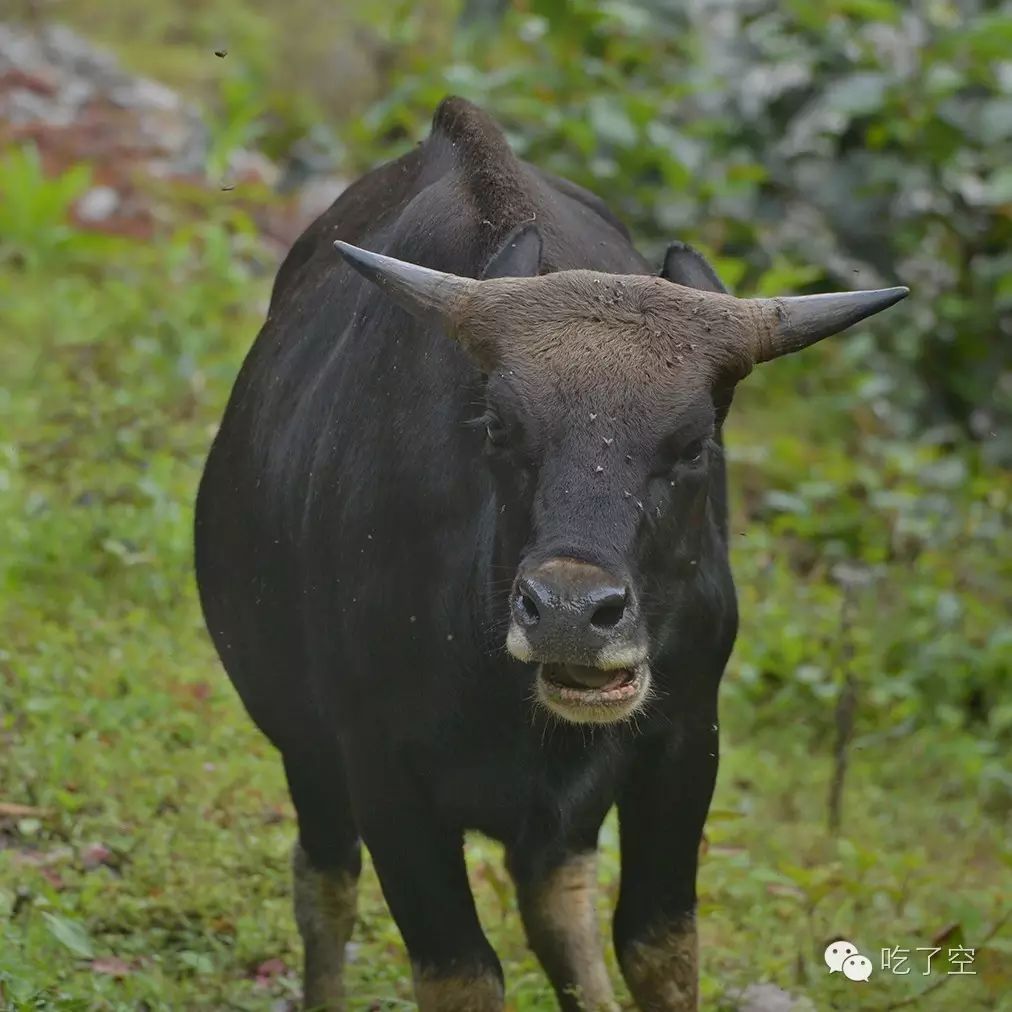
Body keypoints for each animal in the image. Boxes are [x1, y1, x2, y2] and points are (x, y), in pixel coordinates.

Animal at [193, 96, 906, 1011]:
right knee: (326, 884)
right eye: (499, 427)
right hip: (303, 746)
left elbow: (657, 946)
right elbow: (459, 972)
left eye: (693, 445)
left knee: (555, 901)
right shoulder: (380, 768)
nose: (569, 613)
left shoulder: (684, 746)